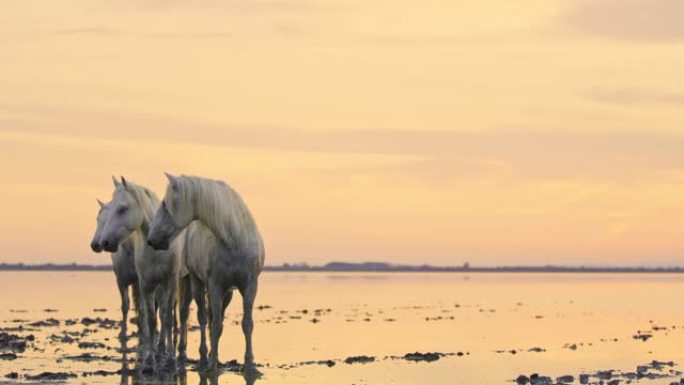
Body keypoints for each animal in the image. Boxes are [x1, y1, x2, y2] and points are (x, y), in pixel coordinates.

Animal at [97, 176, 186, 368]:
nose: (105, 242)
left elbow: (167, 318)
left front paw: (170, 359)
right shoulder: (146, 284)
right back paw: (160, 350)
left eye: (123, 208)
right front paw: (149, 359)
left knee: (178, 314)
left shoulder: (169, 283)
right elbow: (151, 318)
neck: (156, 248)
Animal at [148, 173, 264, 372]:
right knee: (201, 317)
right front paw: (212, 364)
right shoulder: (215, 286)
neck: (234, 238)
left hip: (227, 293)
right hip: (196, 282)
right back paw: (203, 359)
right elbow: (215, 325)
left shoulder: (249, 286)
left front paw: (249, 364)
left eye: (164, 204)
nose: (151, 239)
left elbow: (246, 324)